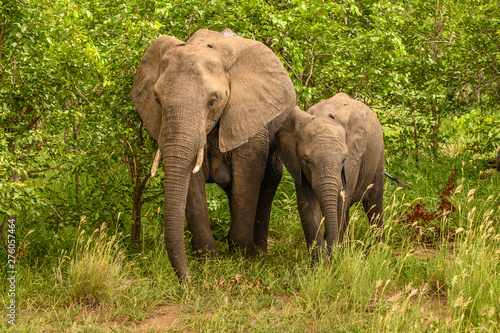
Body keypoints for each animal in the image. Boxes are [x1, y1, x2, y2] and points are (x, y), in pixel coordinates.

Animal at [133, 29, 296, 280]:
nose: (187, 281)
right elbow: (191, 183)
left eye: (213, 101)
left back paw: (260, 252)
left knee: (269, 180)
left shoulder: (249, 117)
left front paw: (246, 256)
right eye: (158, 100)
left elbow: (248, 176)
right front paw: (208, 261)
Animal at [276, 92, 384, 260]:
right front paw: (321, 263)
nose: (330, 252)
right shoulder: (297, 165)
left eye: (344, 159)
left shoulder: (353, 163)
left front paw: (334, 259)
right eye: (306, 161)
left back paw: (377, 252)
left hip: (378, 157)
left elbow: (340, 203)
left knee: (374, 204)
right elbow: (308, 206)